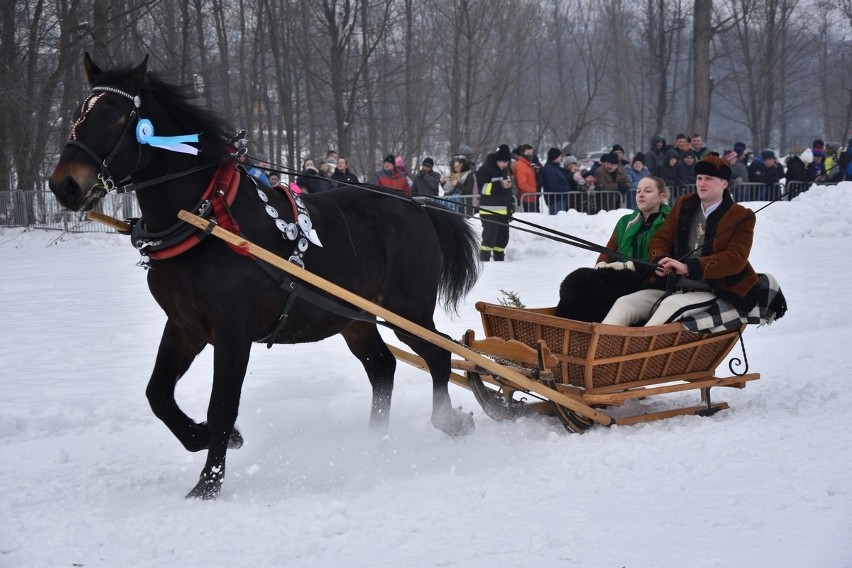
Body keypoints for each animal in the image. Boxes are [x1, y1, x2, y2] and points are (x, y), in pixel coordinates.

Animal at [50, 53, 482, 496]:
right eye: (77, 113)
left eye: (113, 116)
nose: (64, 185)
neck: (204, 221)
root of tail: (418, 207)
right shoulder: (185, 326)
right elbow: (158, 394)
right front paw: (202, 437)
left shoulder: (233, 332)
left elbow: (222, 405)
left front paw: (208, 484)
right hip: (354, 319)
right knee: (382, 367)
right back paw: (373, 443)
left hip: (407, 312)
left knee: (440, 354)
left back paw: (448, 422)